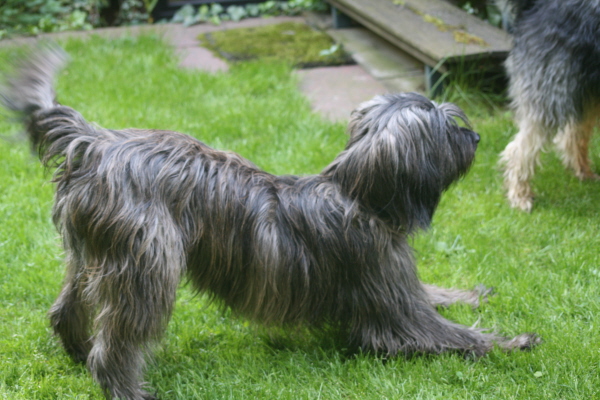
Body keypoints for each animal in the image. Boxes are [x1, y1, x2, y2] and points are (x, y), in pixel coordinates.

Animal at [0, 45, 540, 398]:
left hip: (91, 253)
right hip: (147, 262)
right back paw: (126, 387)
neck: (359, 194)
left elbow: (438, 294)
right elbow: (457, 336)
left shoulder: (400, 286)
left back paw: (76, 351)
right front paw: (514, 341)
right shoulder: (395, 314)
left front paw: (473, 294)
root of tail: (94, 143)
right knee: (116, 341)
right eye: (448, 129)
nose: (475, 139)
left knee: (66, 309)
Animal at [496, 0, 600, 212]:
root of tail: (536, 5)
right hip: (552, 86)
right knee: (520, 149)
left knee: (571, 136)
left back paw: (583, 171)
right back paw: (519, 195)